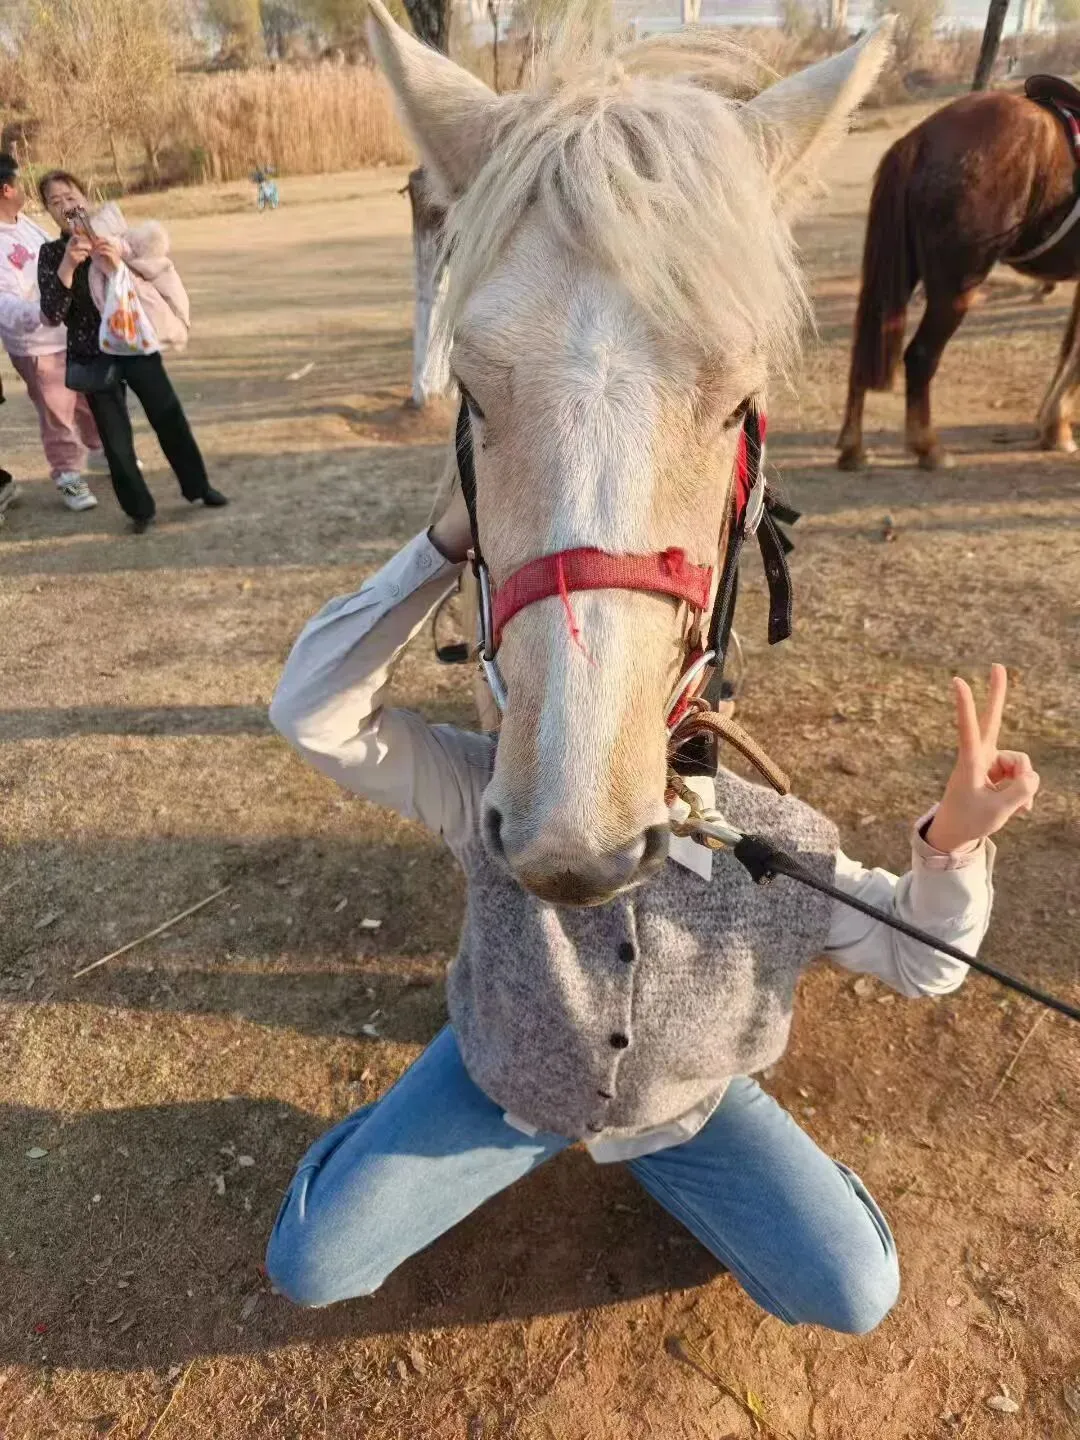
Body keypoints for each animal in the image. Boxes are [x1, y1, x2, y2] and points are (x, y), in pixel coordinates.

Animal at [838, 81, 1080, 471]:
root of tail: (920, 138)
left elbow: (1069, 348)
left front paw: (1052, 427)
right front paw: (1057, 427)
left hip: (900, 277)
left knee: (866, 347)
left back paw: (853, 448)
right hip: (956, 287)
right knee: (920, 355)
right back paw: (928, 448)